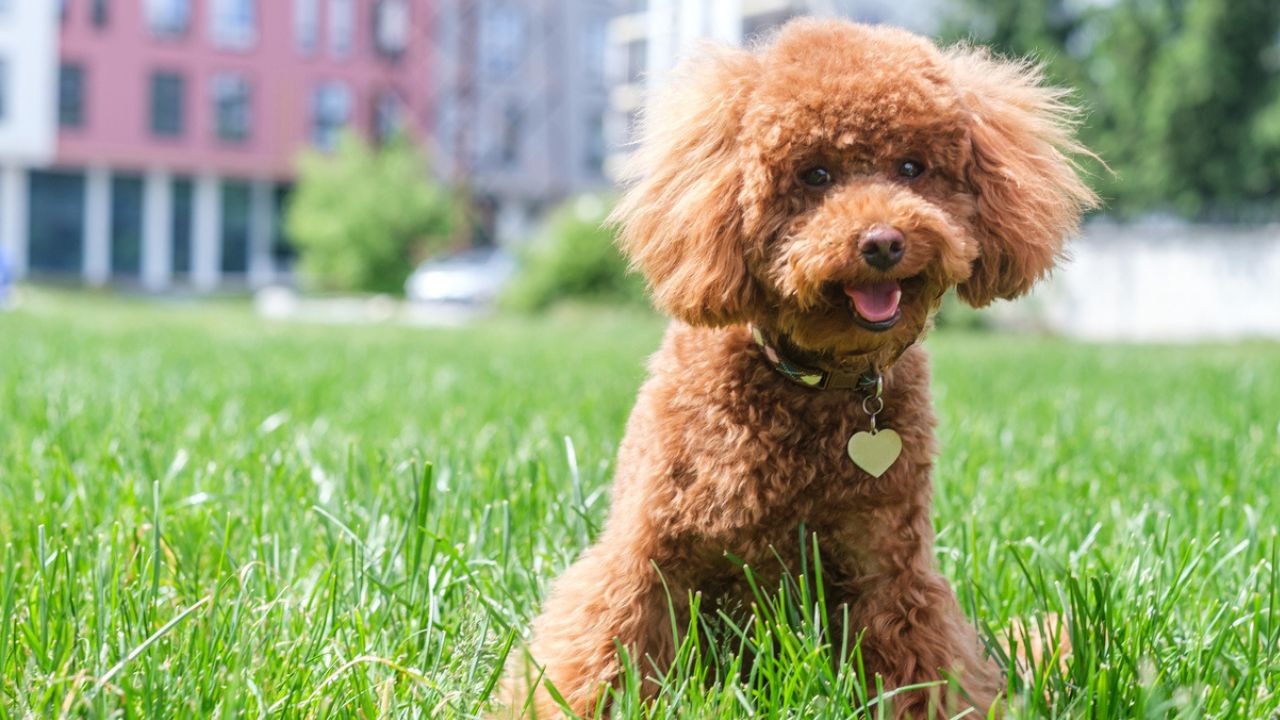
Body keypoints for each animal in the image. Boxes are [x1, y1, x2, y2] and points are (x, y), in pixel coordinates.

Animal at [504, 18, 1095, 717]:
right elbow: (604, 646)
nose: (883, 242)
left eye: (912, 167)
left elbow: (922, 663)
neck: (814, 381)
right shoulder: (645, 554)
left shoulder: (888, 565)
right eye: (815, 174)